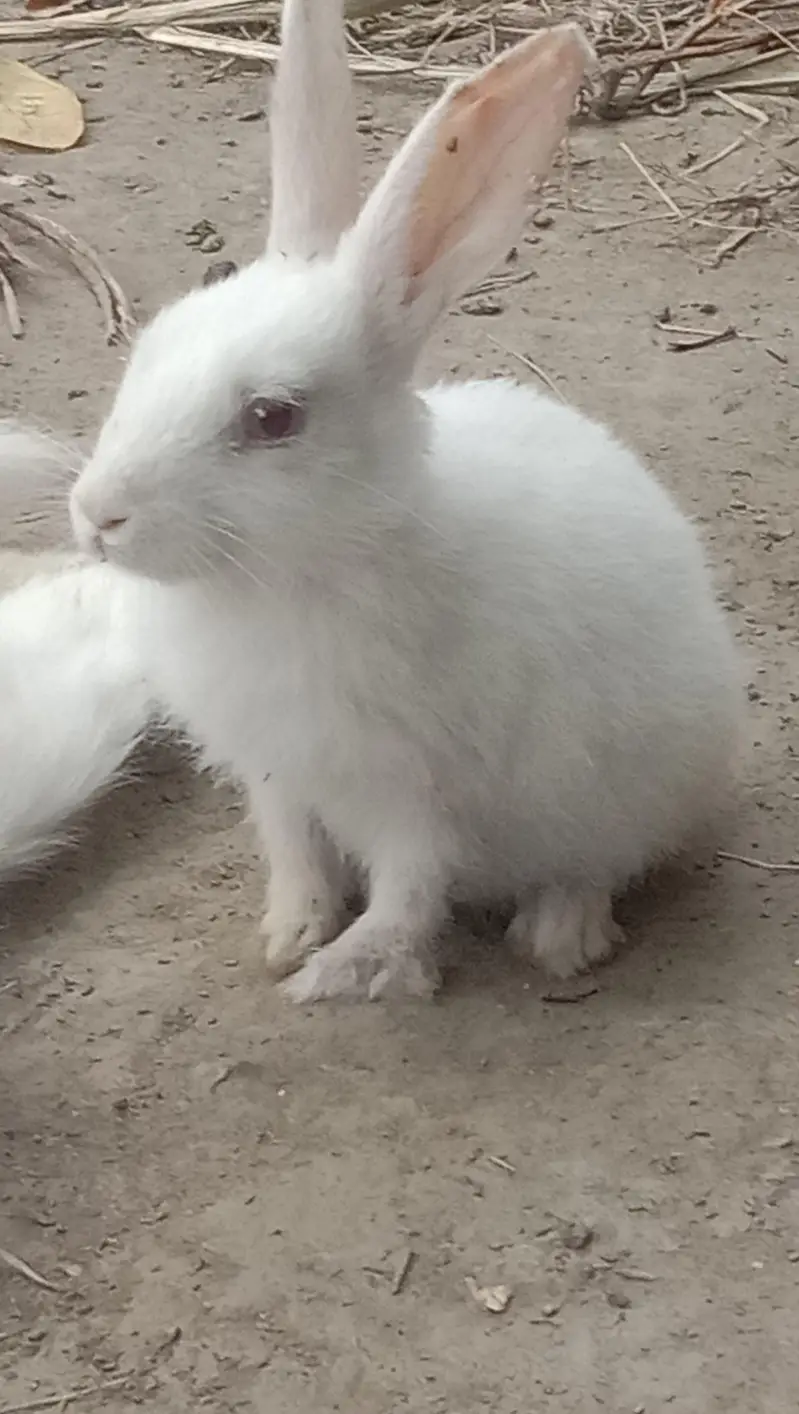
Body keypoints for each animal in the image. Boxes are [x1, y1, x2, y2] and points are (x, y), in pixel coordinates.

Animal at [68, 0, 742, 1002]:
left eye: (272, 418)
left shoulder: (412, 792)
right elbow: (296, 856)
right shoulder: (281, 779)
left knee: (599, 862)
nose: (98, 516)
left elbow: (410, 889)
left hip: (629, 788)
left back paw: (559, 936)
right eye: (148, 350)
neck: (300, 573)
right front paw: (289, 936)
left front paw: (338, 974)